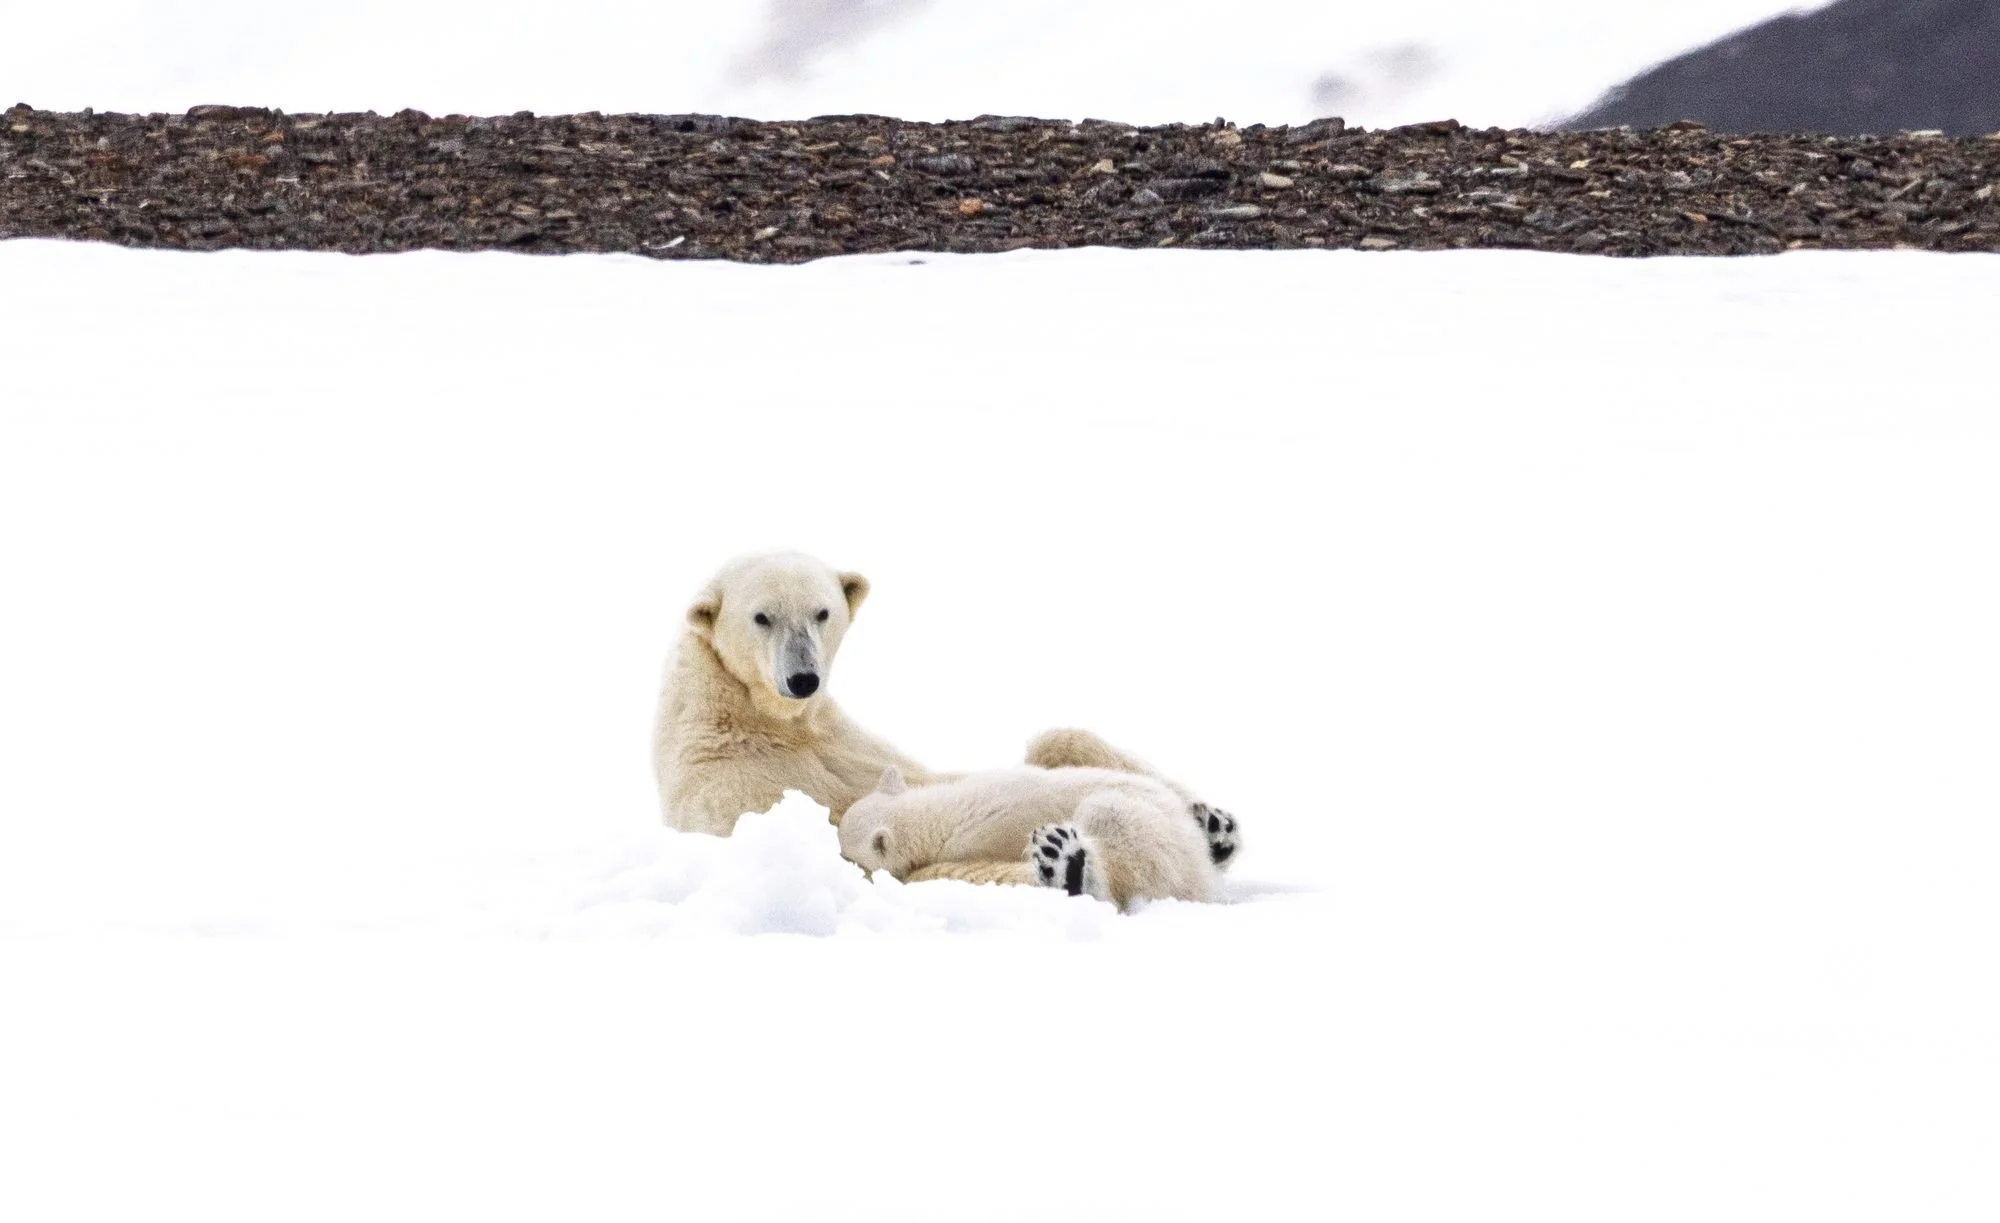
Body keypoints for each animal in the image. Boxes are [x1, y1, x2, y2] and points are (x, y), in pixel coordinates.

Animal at [653, 552, 1243, 853]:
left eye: (822, 612)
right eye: (761, 616)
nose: (804, 679)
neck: (759, 718)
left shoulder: (847, 744)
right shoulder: (730, 785)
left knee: (1058, 736)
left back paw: (1215, 824)